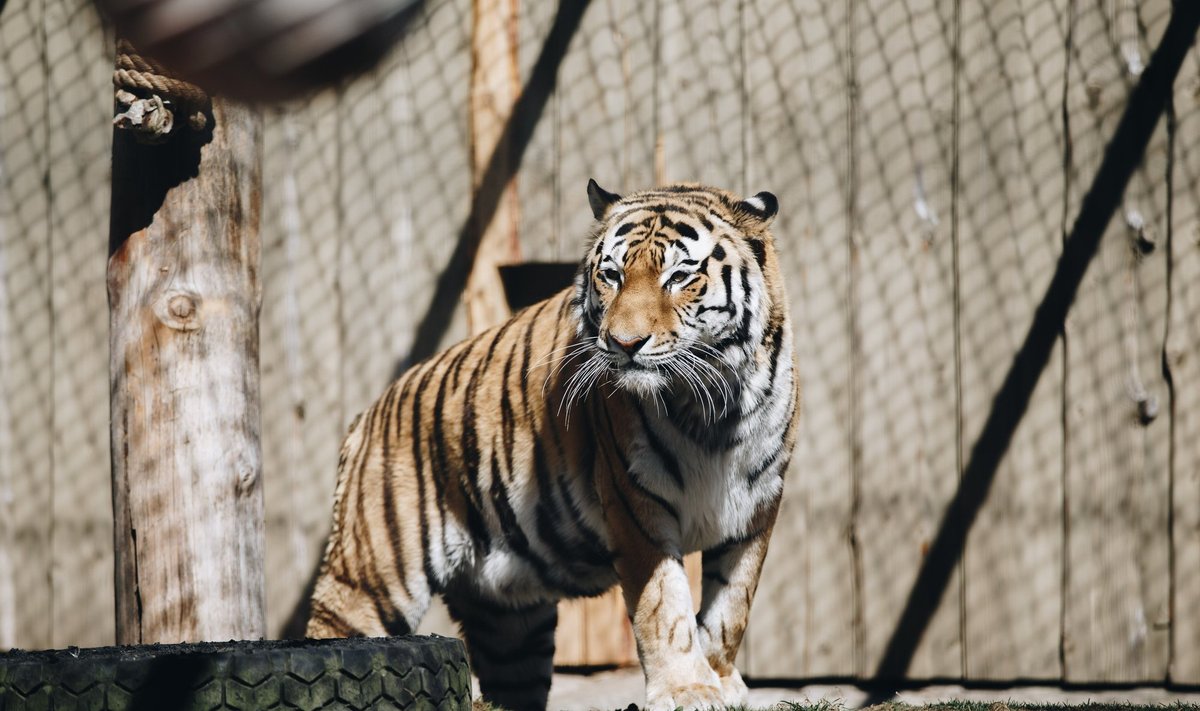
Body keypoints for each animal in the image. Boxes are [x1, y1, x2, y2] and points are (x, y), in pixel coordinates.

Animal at [304, 181, 801, 711]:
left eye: (680, 277)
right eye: (612, 275)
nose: (624, 343)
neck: (716, 408)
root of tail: (365, 417)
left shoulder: (756, 508)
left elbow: (732, 606)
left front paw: (722, 682)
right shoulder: (635, 504)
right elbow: (664, 604)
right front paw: (687, 690)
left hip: (510, 624)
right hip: (369, 584)